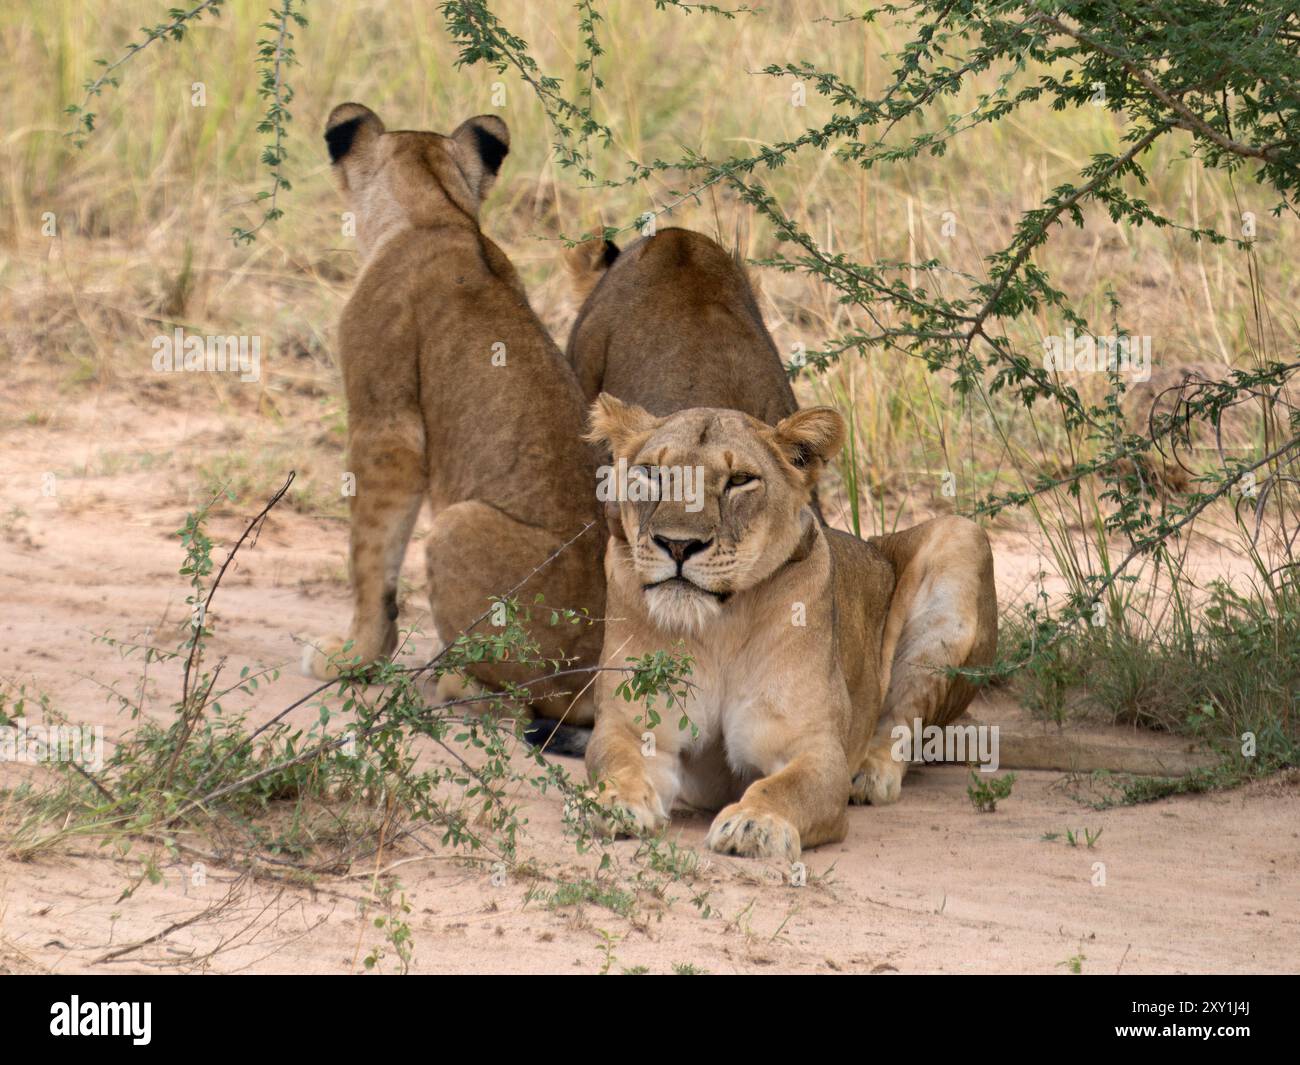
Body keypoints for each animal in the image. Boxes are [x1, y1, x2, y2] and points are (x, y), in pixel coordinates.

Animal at [303, 103, 605, 725]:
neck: (439, 212)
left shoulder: (387, 425)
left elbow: (371, 554)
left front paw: (354, 657)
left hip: (457, 524)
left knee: (530, 701)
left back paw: (455, 683)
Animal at [583, 394, 998, 861]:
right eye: (652, 473)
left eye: (739, 480)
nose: (678, 545)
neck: (719, 626)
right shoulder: (636, 731)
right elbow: (618, 762)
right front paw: (612, 803)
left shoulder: (814, 749)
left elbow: (786, 788)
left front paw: (754, 823)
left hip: (962, 535)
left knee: (903, 716)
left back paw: (869, 778)